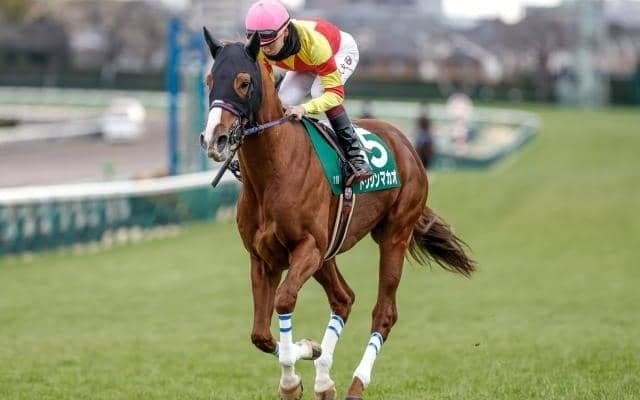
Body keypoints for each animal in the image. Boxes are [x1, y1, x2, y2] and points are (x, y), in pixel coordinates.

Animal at [200, 30, 476, 400]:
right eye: (209, 80)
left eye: (244, 83)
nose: (214, 139)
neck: (274, 170)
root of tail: (404, 142)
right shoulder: (264, 257)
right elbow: (260, 334)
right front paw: (308, 356)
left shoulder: (307, 247)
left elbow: (284, 301)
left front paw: (292, 377)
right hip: (328, 253)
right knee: (344, 299)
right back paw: (324, 380)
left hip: (393, 235)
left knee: (384, 313)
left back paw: (356, 384)